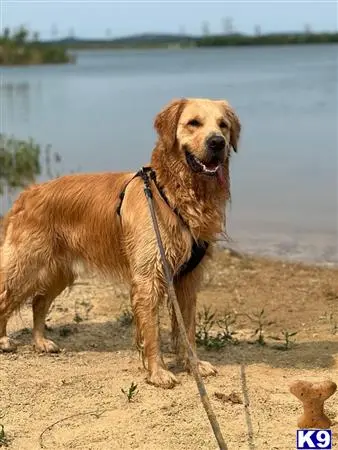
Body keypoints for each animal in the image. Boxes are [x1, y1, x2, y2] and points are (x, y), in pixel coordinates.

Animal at [0, 98, 240, 386]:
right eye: (193, 123)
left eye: (223, 125)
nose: (217, 142)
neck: (170, 194)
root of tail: (27, 193)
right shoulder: (149, 277)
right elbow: (152, 332)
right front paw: (158, 372)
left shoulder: (187, 279)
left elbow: (187, 329)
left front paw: (194, 365)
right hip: (25, 264)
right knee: (7, 296)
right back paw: (4, 340)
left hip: (59, 271)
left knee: (38, 301)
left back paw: (41, 342)